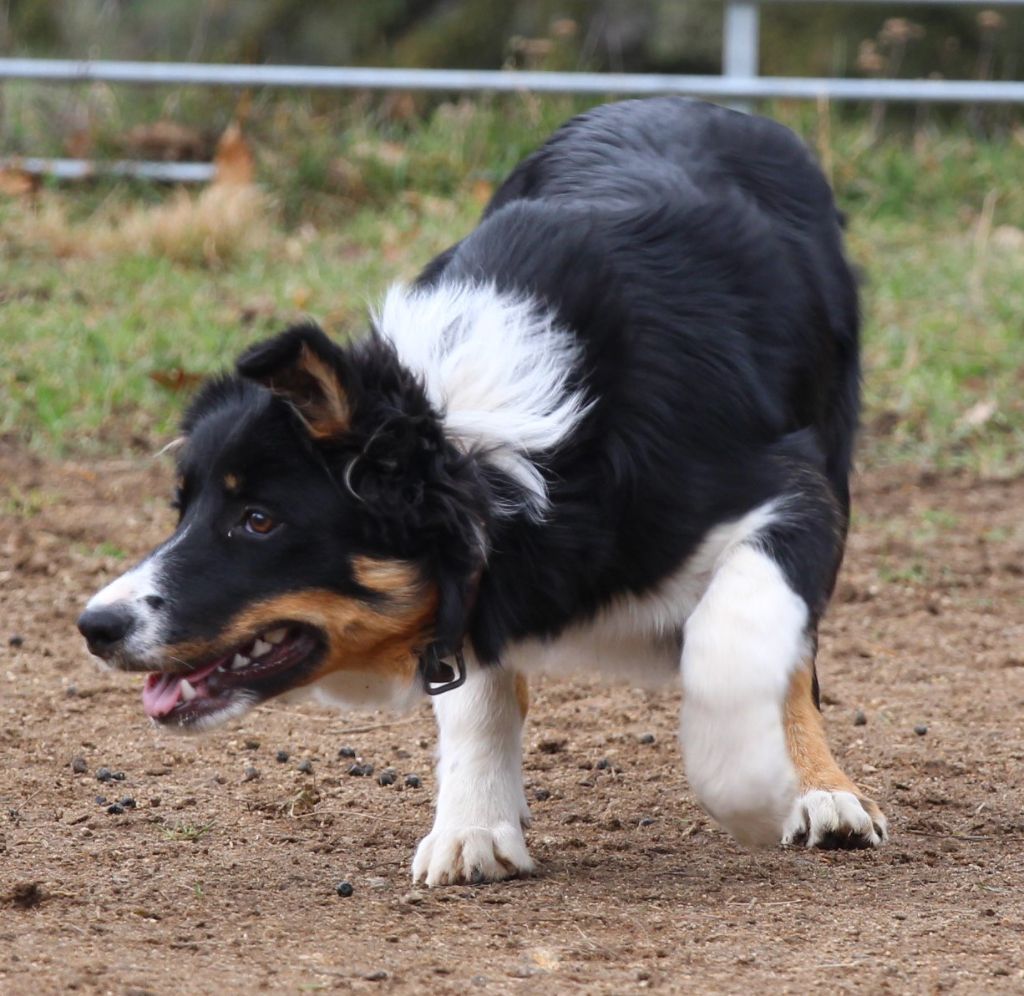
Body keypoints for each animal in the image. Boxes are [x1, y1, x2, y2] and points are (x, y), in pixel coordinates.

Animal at [77, 97, 888, 880]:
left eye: (258, 520)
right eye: (183, 508)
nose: (94, 626)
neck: (493, 446)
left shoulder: (791, 484)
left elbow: (739, 639)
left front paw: (754, 789)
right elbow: (478, 694)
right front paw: (474, 828)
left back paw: (822, 793)